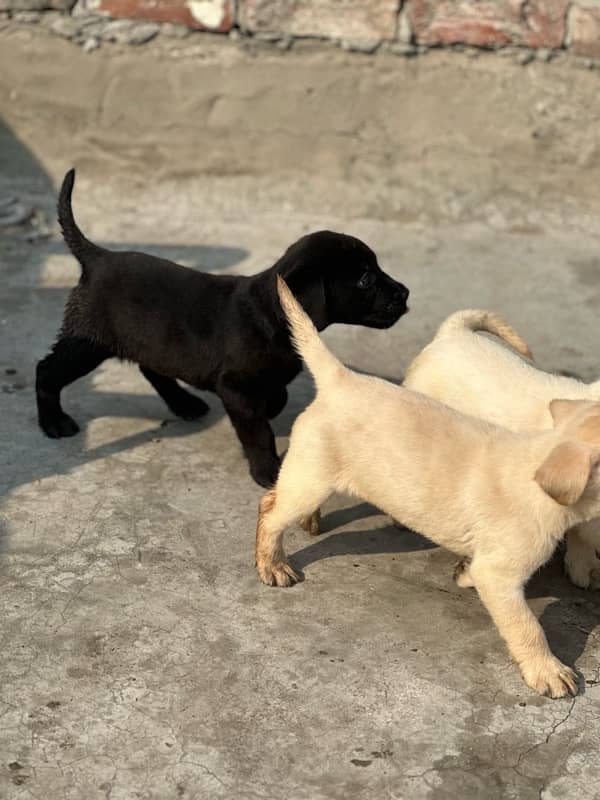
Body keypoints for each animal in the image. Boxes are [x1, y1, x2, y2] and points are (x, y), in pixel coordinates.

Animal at [36, 170, 408, 488]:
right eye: (365, 279)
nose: (405, 293)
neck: (271, 315)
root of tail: (97, 257)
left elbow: (278, 396)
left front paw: (271, 408)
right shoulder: (235, 386)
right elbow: (258, 432)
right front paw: (267, 471)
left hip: (149, 339)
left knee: (151, 368)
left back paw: (185, 404)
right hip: (86, 343)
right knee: (46, 371)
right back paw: (53, 422)